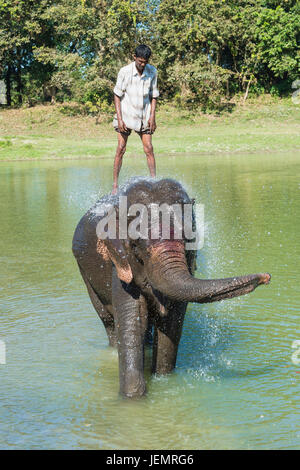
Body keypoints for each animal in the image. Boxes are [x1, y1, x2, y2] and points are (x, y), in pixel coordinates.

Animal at [71, 178, 270, 398]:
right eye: (135, 245)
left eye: (190, 239)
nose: (265, 277)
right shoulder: (119, 264)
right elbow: (134, 319)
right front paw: (132, 397)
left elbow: (171, 321)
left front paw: (164, 382)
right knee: (108, 321)